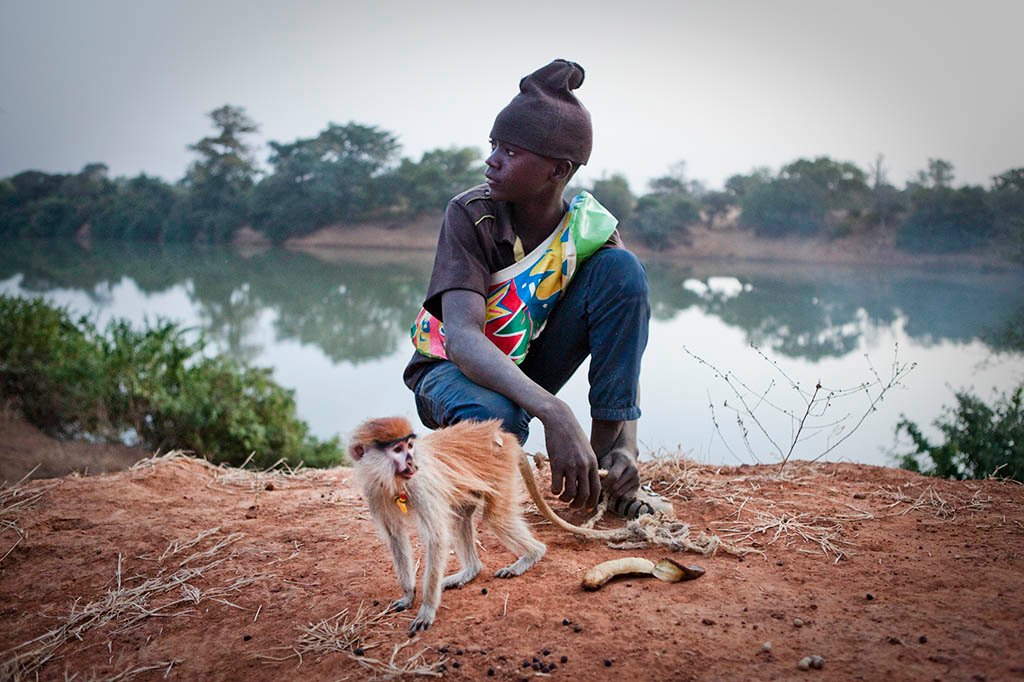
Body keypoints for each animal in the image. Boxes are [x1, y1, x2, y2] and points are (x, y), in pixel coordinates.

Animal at [349, 416, 547, 633]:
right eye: (397, 449)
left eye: (409, 446)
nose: (411, 462)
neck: (394, 480)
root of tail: (501, 434)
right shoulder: (374, 490)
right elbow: (396, 536)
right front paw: (408, 595)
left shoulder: (420, 483)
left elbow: (436, 538)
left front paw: (427, 609)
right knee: (461, 517)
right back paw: (471, 570)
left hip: (500, 464)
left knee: (496, 518)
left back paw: (533, 554)